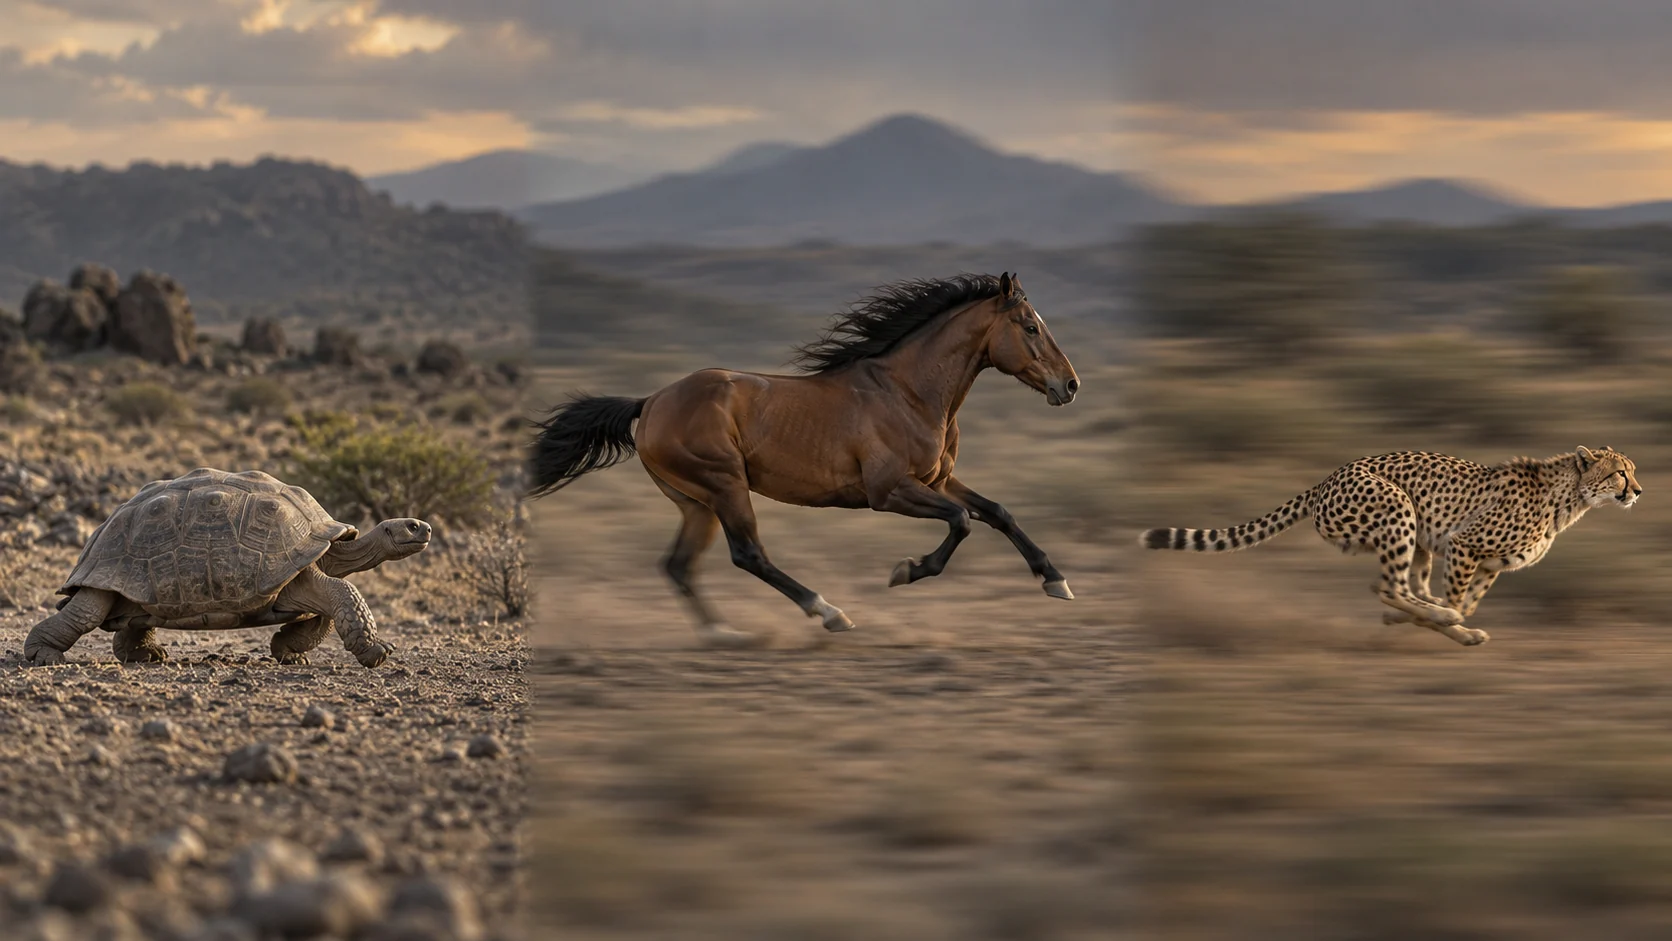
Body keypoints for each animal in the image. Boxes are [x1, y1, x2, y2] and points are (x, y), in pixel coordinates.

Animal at [527, 271, 1080, 646]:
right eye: (1030, 327)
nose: (1070, 385)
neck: (907, 392)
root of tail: (651, 402)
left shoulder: (939, 480)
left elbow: (998, 513)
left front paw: (1056, 581)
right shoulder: (889, 491)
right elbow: (962, 521)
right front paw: (905, 571)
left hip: (696, 503)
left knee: (679, 565)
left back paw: (724, 635)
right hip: (725, 486)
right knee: (748, 554)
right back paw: (829, 612)